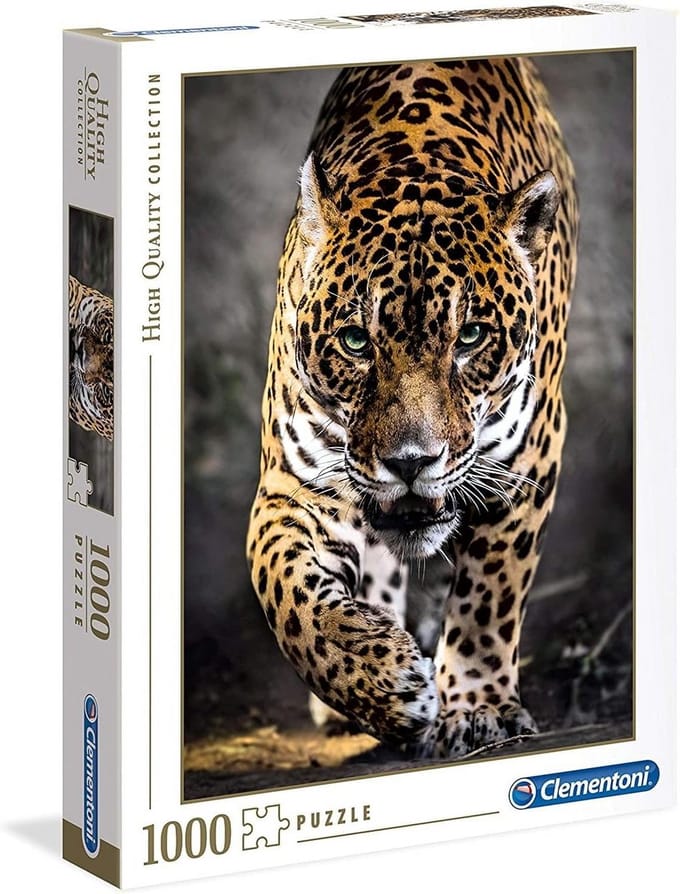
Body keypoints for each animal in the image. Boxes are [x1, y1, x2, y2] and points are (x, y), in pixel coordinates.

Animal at [247, 57, 578, 758]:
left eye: (471, 337)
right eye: (355, 341)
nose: (409, 462)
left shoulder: (528, 460)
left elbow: (489, 593)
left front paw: (476, 707)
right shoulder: (295, 483)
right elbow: (285, 591)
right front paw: (382, 682)